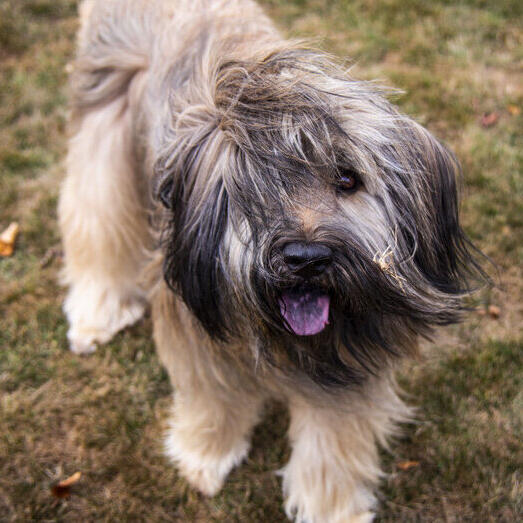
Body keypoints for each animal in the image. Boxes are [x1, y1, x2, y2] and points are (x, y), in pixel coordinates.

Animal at [58, 2, 488, 520]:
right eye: (258, 186)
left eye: (347, 179)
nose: (305, 259)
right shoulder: (195, 322)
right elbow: (212, 397)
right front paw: (207, 456)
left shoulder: (347, 356)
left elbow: (332, 441)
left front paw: (332, 507)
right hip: (105, 112)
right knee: (95, 217)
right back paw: (96, 310)